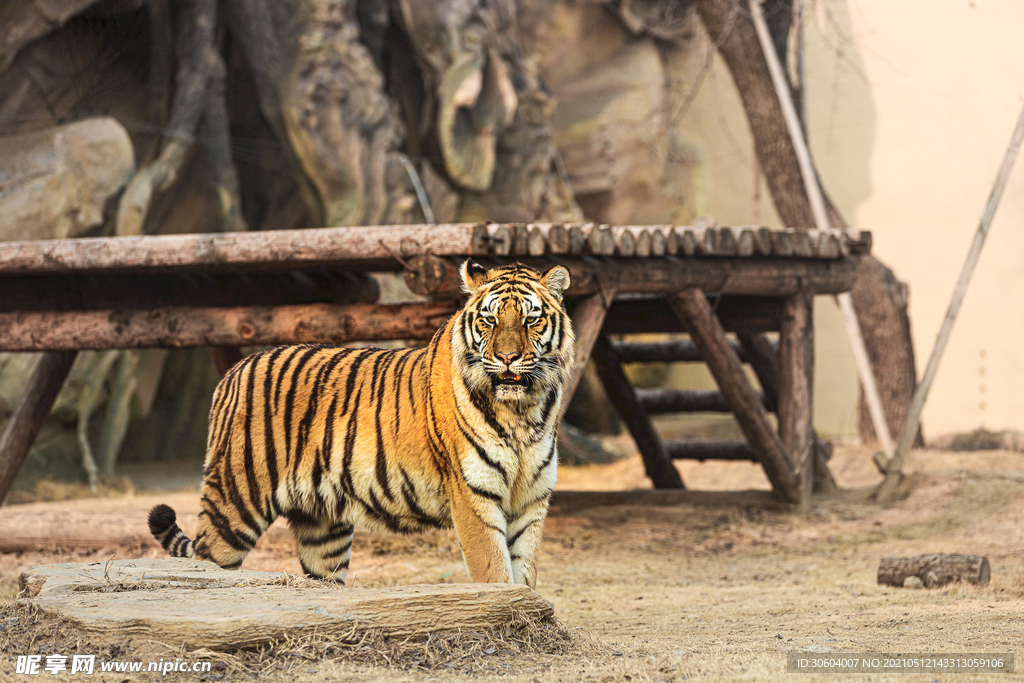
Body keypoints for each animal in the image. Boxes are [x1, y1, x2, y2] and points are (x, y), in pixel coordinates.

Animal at [148, 259, 573, 589]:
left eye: (531, 320)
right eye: (489, 320)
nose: (506, 357)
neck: (522, 413)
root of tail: (233, 372)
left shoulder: (531, 500)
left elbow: (525, 574)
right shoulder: (474, 496)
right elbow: (495, 573)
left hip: (323, 528)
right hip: (235, 501)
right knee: (206, 560)